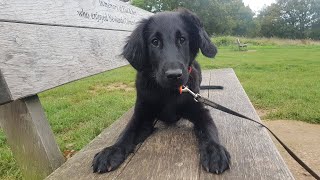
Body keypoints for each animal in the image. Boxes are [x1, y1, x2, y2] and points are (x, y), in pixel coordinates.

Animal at [92, 8, 230, 174]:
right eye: (155, 42)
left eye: (182, 39)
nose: (174, 75)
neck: (168, 93)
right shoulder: (142, 113)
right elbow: (126, 132)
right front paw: (112, 150)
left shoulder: (200, 111)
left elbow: (209, 128)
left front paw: (214, 150)